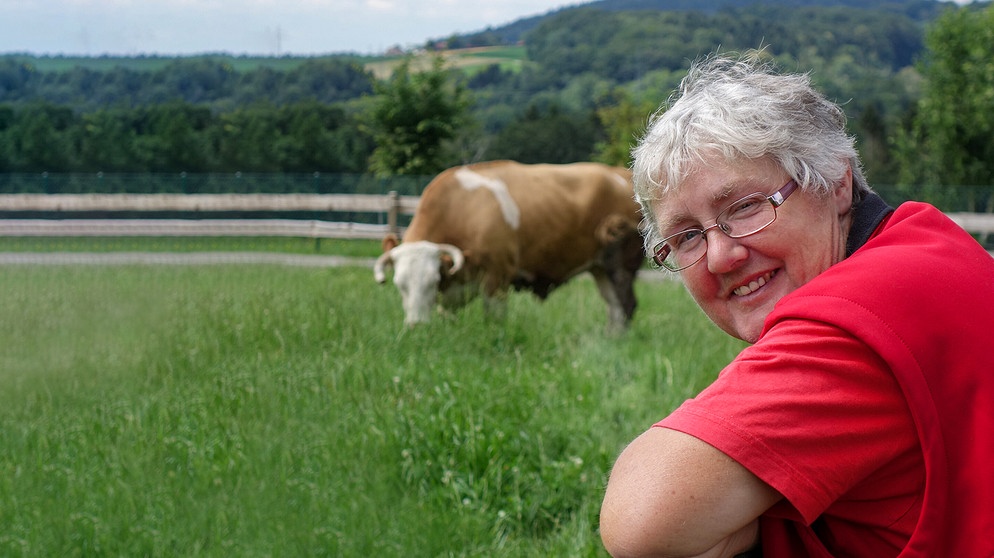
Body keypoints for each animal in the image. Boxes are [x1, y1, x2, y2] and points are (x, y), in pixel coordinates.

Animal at [372, 160, 644, 330]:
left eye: (432, 281)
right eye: (399, 284)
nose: (415, 325)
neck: (461, 209)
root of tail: (620, 174)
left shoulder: (497, 277)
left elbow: (494, 319)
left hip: (621, 266)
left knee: (626, 305)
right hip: (600, 269)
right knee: (614, 307)